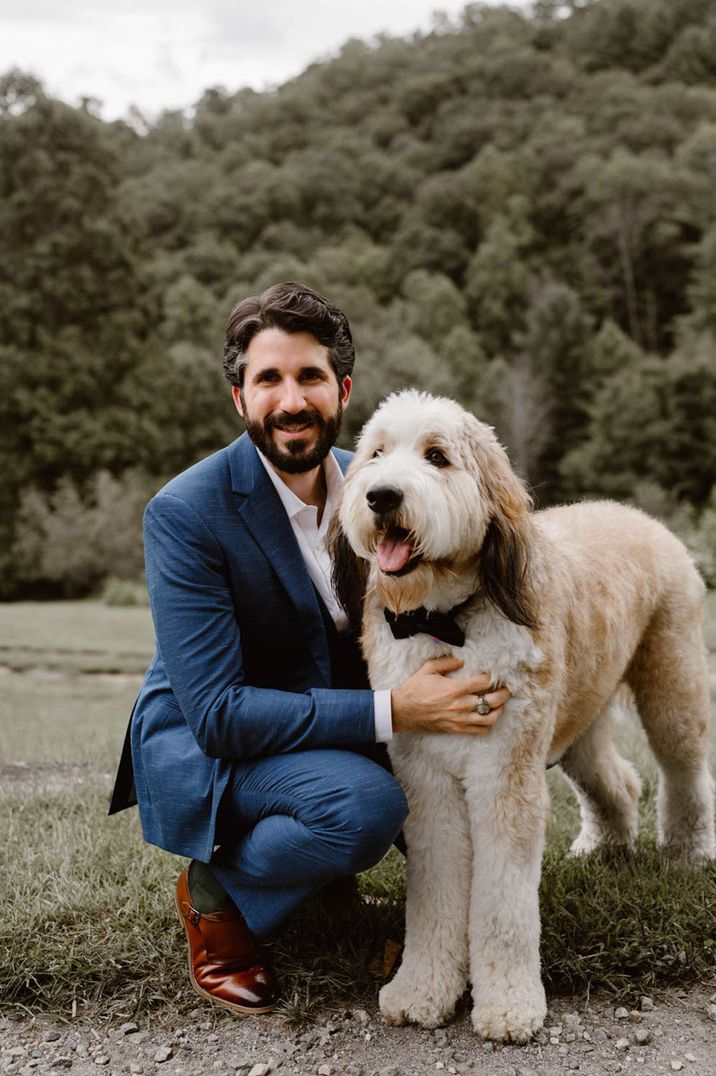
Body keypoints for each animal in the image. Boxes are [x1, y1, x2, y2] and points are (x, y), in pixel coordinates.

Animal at [331, 387, 714, 1041]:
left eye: (437, 456)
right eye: (376, 453)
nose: (381, 496)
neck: (448, 621)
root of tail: (637, 515)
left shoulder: (504, 776)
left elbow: (503, 904)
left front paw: (510, 1004)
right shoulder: (427, 783)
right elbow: (434, 897)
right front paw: (421, 990)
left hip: (671, 690)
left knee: (684, 775)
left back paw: (688, 856)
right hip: (576, 722)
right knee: (618, 784)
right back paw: (605, 848)